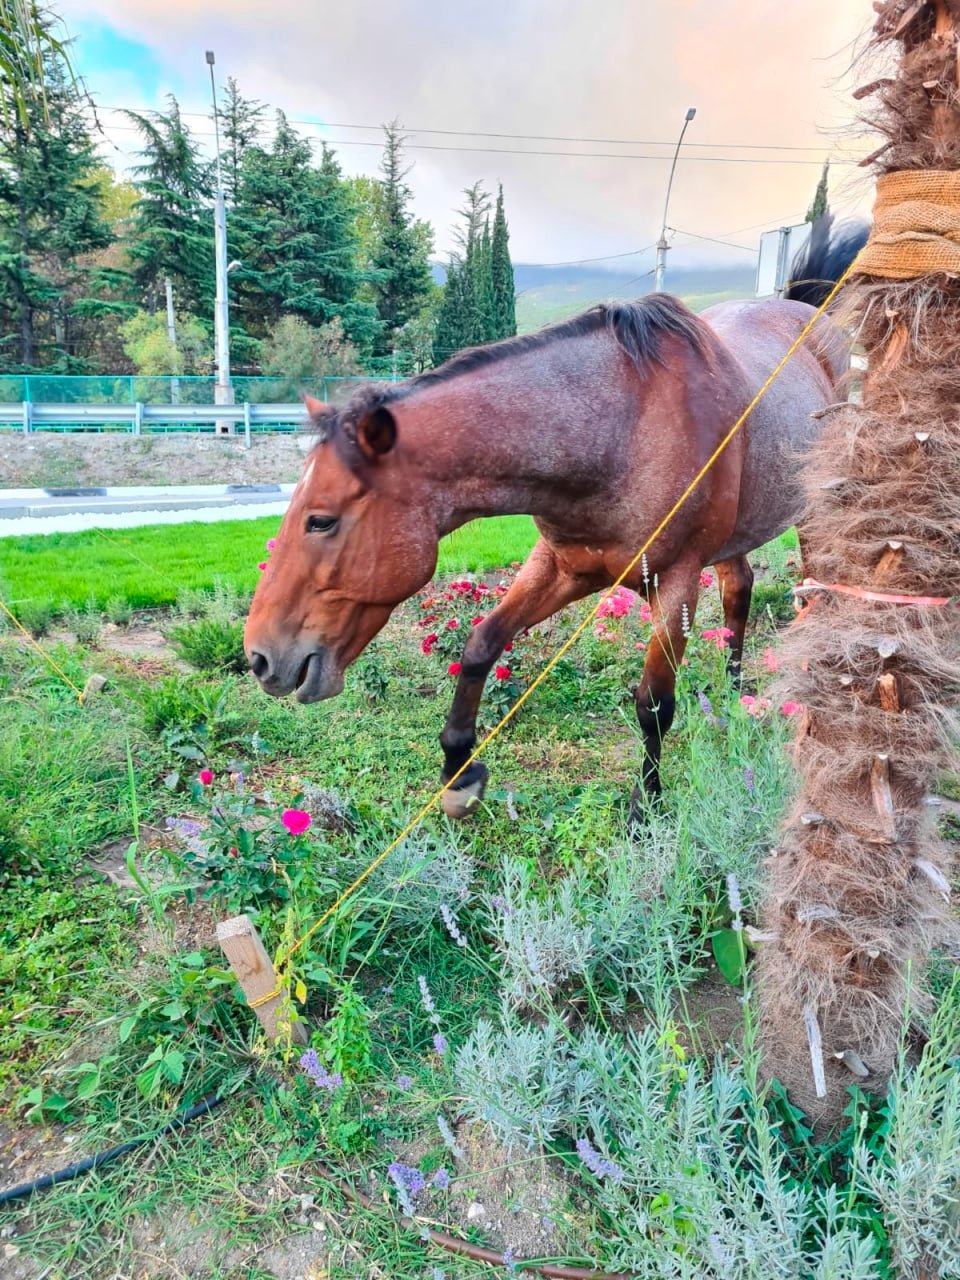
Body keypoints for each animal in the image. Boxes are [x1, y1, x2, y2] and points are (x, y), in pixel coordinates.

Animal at [244, 231, 860, 819]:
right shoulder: (562, 566)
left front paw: (646, 805)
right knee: (740, 592)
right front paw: (458, 772)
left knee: (813, 597)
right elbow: (481, 644)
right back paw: (732, 695)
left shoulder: (677, 580)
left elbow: (653, 703)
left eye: (321, 520)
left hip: (810, 518)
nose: (259, 658)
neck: (624, 432)